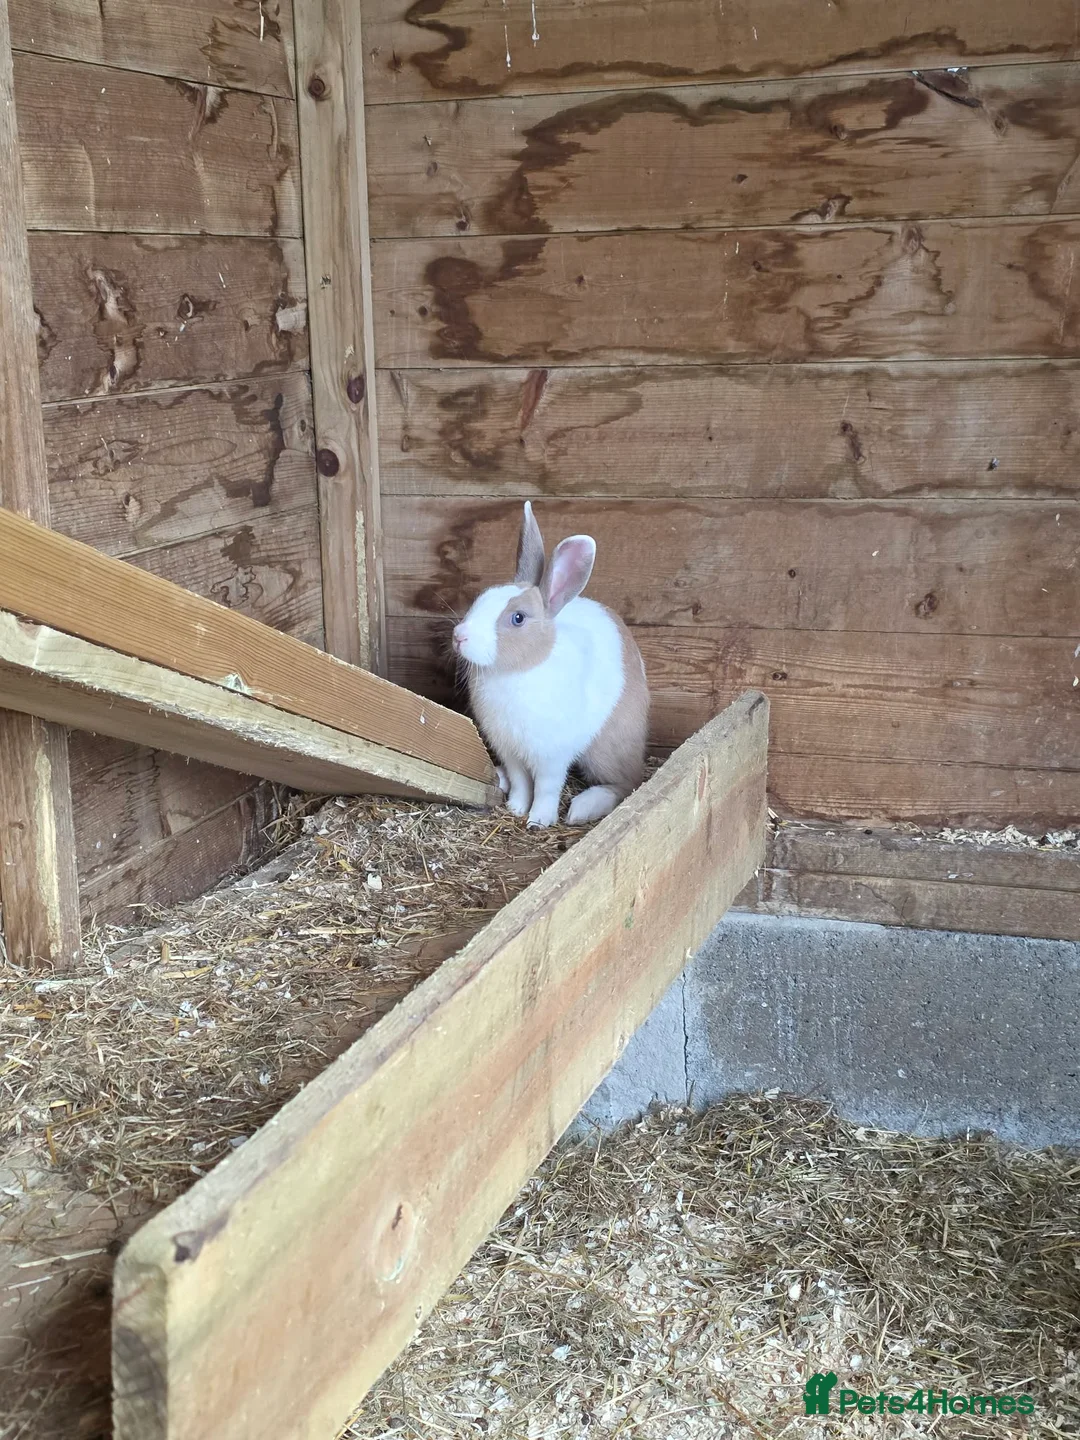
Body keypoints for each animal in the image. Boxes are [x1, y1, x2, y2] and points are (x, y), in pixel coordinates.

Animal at [452, 501, 649, 828]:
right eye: (481, 597)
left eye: (518, 618)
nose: (458, 636)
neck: (517, 672)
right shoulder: (510, 752)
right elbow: (521, 782)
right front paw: (516, 808)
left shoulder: (551, 757)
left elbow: (545, 788)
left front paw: (538, 820)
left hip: (606, 748)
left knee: (625, 783)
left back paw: (582, 807)